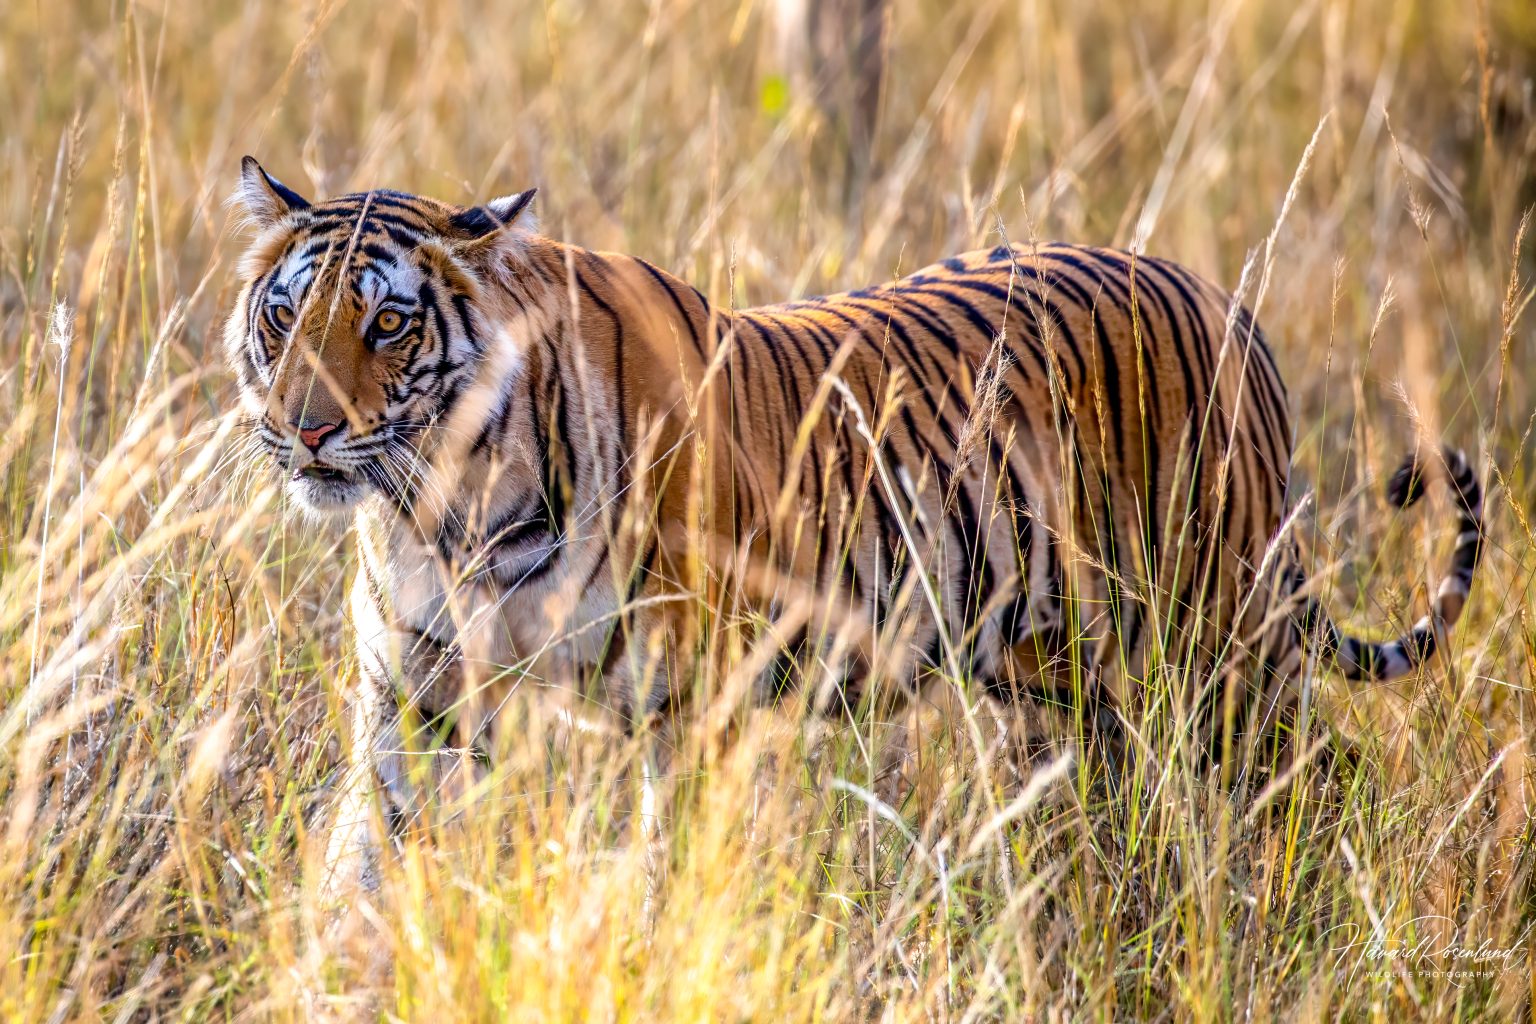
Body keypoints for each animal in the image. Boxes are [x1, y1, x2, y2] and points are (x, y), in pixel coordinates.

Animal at [224, 157, 1483, 891]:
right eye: (285, 316)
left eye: (387, 324)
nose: (306, 429)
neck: (445, 507)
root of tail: (1223, 298)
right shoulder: (414, 696)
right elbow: (370, 854)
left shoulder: (686, 708)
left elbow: (667, 870)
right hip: (1050, 676)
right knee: (1114, 792)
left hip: (1222, 633)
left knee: (1309, 778)